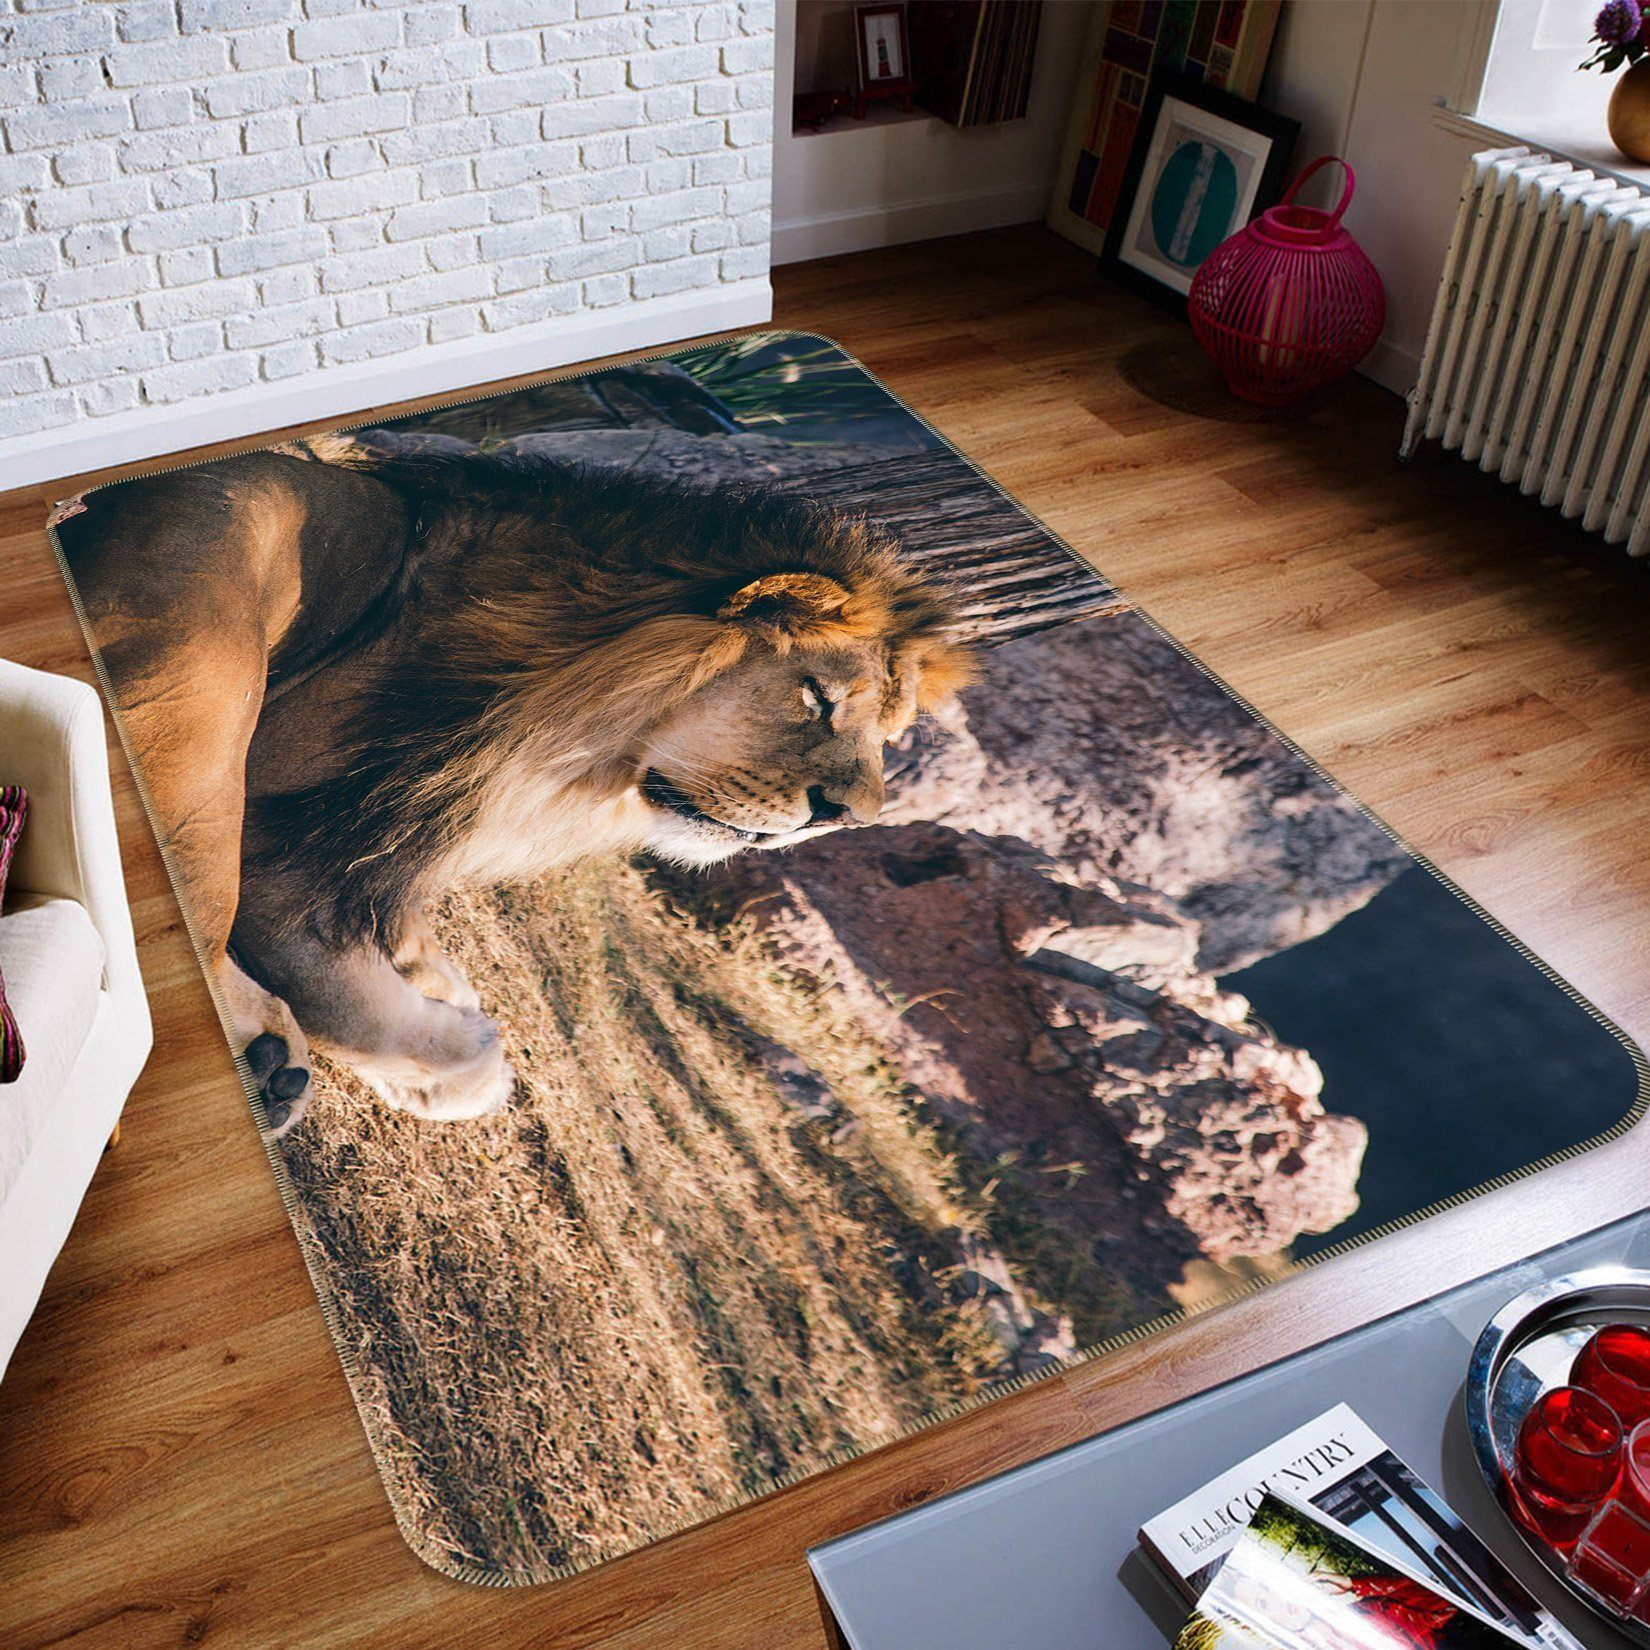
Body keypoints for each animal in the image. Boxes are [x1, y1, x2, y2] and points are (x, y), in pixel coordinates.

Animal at [56, 444, 971, 1136]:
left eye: (888, 738)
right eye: (817, 697)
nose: (848, 821)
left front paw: (432, 992)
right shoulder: (293, 830)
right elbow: (360, 995)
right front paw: (463, 1053)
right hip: (217, 655)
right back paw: (265, 1058)